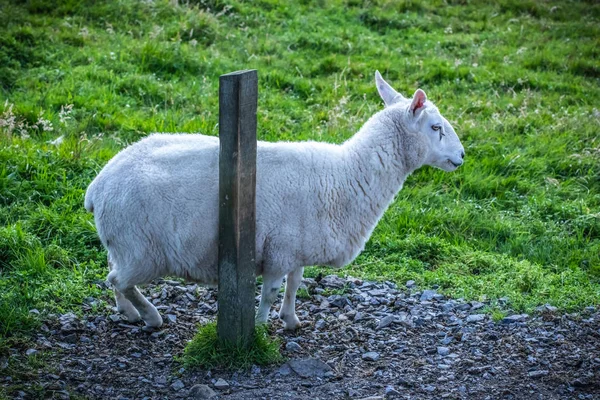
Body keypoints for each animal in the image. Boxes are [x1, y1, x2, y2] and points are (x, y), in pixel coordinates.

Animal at [83, 70, 464, 330]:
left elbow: (295, 285)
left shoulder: (295, 248)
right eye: (435, 127)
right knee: (119, 280)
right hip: (141, 248)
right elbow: (269, 291)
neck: (345, 174)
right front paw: (261, 325)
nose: (461, 156)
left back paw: (129, 313)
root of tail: (98, 186)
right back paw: (150, 316)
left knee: (114, 275)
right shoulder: (278, 250)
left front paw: (290, 319)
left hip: (124, 244)